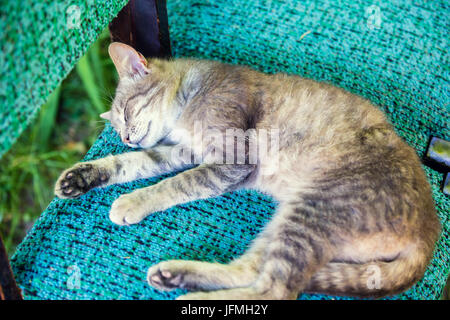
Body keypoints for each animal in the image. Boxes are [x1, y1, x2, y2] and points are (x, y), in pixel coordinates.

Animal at [55, 42, 440, 300]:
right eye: (116, 124)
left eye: (126, 111)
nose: (124, 137)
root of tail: (430, 232)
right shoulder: (180, 151)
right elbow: (132, 164)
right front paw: (82, 176)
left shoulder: (229, 160)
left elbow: (173, 184)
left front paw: (130, 202)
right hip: (289, 221)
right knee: (250, 270)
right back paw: (175, 276)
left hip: (312, 213)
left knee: (276, 290)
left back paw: (193, 296)